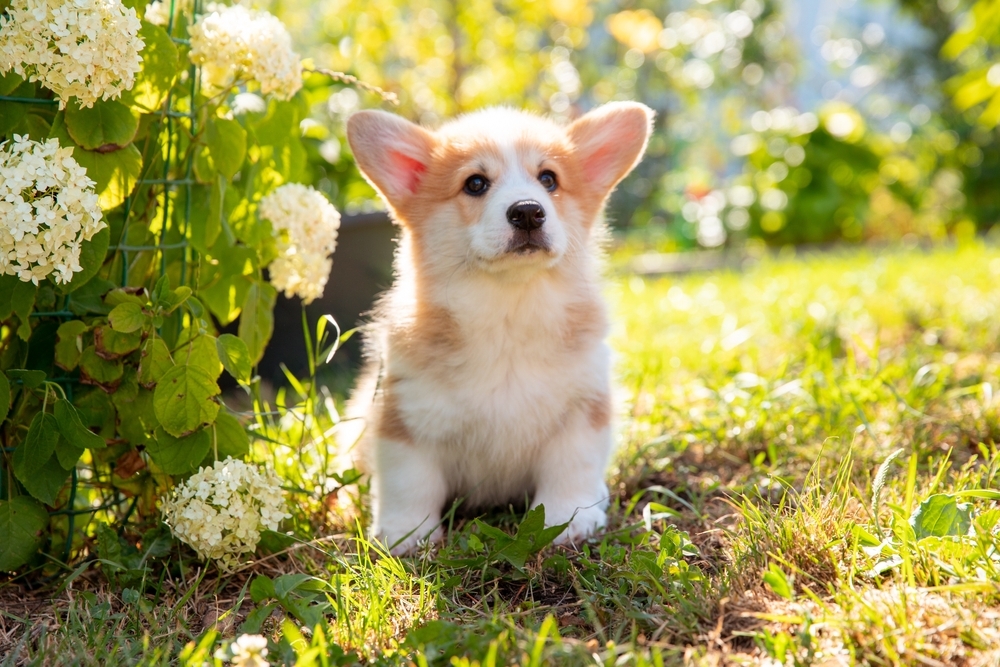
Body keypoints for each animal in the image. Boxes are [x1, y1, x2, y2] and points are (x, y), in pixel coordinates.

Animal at [346, 102, 656, 556]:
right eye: (475, 183)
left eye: (549, 179)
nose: (527, 210)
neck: (508, 309)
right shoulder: (405, 418)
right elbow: (409, 481)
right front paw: (406, 533)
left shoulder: (582, 409)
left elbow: (571, 468)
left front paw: (569, 520)